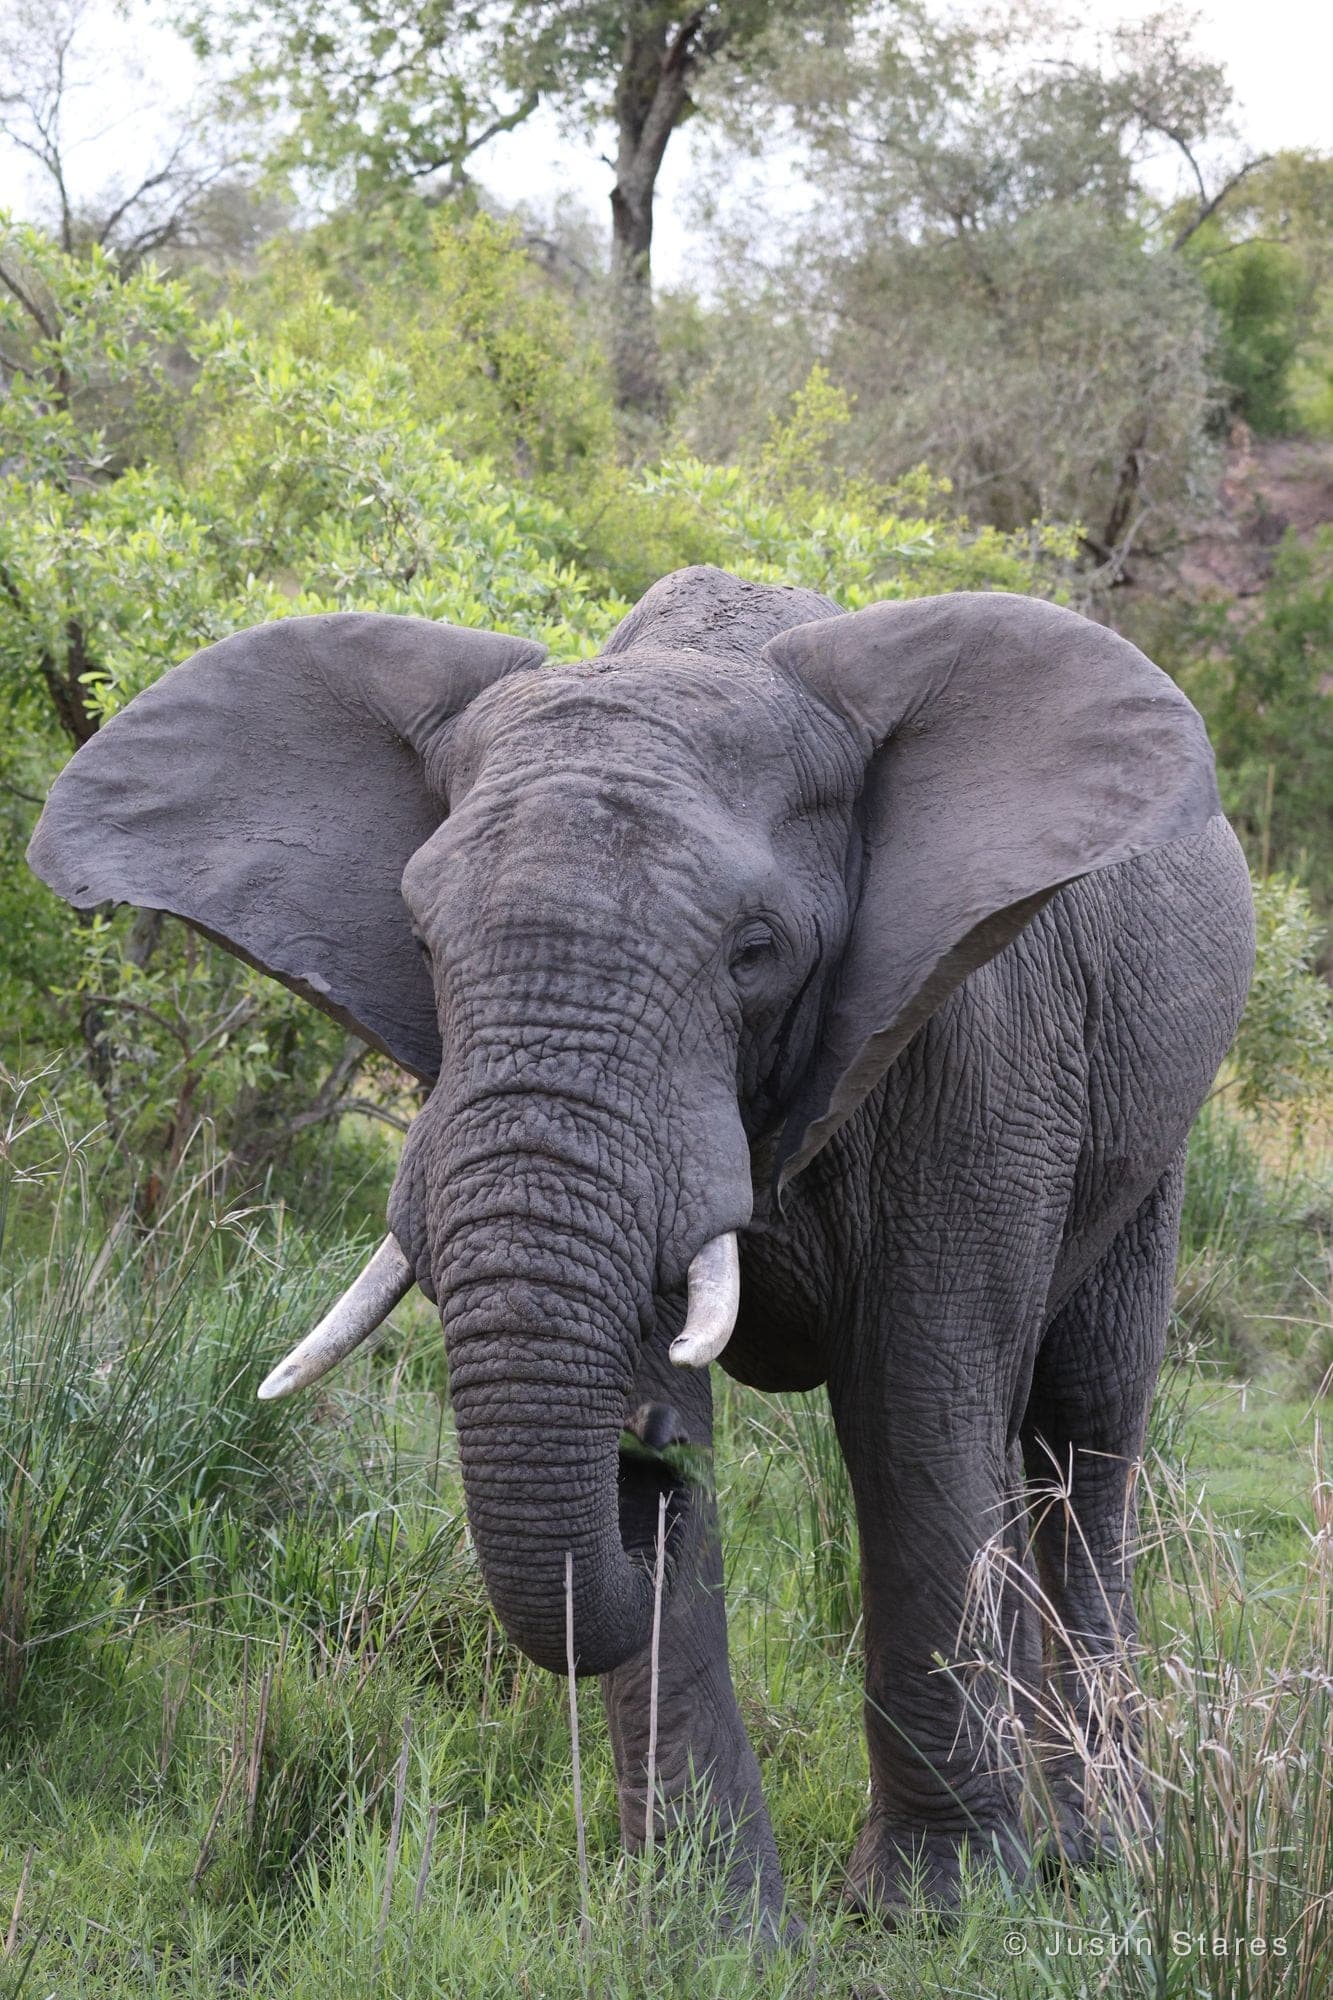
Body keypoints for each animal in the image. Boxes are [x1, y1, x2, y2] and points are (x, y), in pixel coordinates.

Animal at [28, 565, 1254, 1933]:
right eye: (420, 937)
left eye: (755, 951)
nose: (640, 1464)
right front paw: (711, 1928)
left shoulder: (974, 1052)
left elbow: (915, 1417)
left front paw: (934, 1910)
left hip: (1156, 1132)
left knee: (1078, 1435)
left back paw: (1105, 1850)